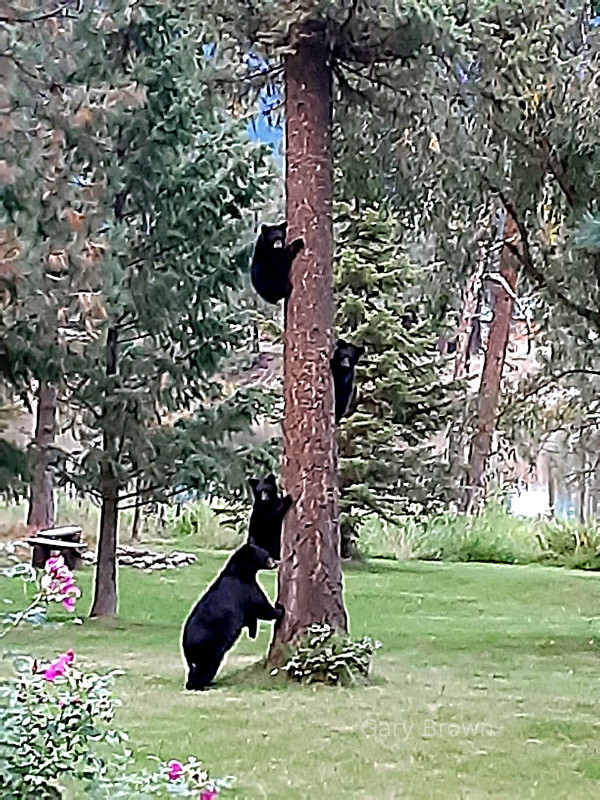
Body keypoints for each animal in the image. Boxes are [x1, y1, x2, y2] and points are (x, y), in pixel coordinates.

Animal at [182, 540, 282, 692]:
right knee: (207, 666)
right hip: (209, 646)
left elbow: (251, 617)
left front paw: (253, 631)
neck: (241, 572)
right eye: (267, 555)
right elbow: (261, 607)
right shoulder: (246, 589)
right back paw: (202, 685)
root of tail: (186, 642)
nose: (276, 562)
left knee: (193, 669)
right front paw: (280, 609)